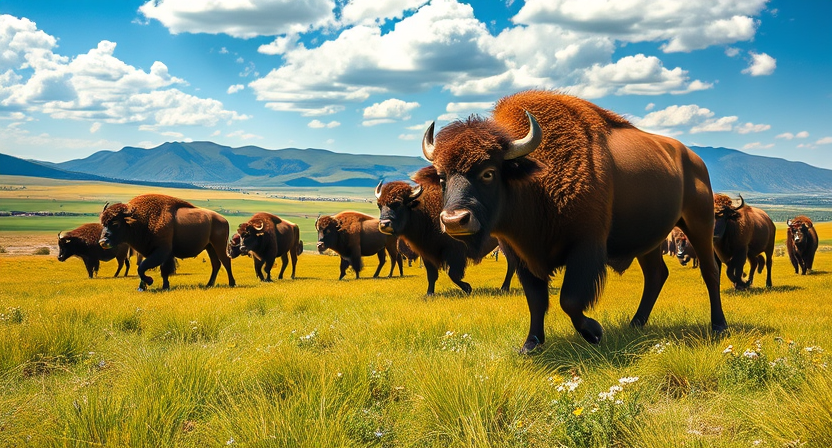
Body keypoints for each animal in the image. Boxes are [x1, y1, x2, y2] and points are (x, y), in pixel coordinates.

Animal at [102, 192, 237, 290]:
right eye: (103, 223)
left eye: (115, 223)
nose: (103, 241)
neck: (139, 219)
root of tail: (223, 220)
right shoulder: (153, 253)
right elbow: (144, 268)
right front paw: (143, 287)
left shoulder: (162, 252)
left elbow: (147, 268)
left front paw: (153, 283)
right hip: (210, 247)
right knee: (216, 264)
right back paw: (209, 284)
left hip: (219, 245)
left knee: (226, 261)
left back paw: (232, 283)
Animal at [376, 166, 516, 296]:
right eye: (379, 205)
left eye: (397, 204)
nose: (384, 224)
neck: (422, 209)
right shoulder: (427, 253)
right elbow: (431, 275)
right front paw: (429, 294)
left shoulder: (455, 251)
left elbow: (452, 274)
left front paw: (468, 288)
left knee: (511, 263)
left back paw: (504, 288)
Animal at [420, 89, 724, 352]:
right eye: (442, 177)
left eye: (488, 172)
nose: (454, 220)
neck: (535, 179)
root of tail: (693, 159)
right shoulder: (521, 255)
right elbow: (536, 300)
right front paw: (530, 344)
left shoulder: (585, 248)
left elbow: (570, 300)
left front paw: (594, 332)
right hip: (650, 241)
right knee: (656, 275)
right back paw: (636, 324)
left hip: (699, 223)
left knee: (710, 271)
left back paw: (718, 327)